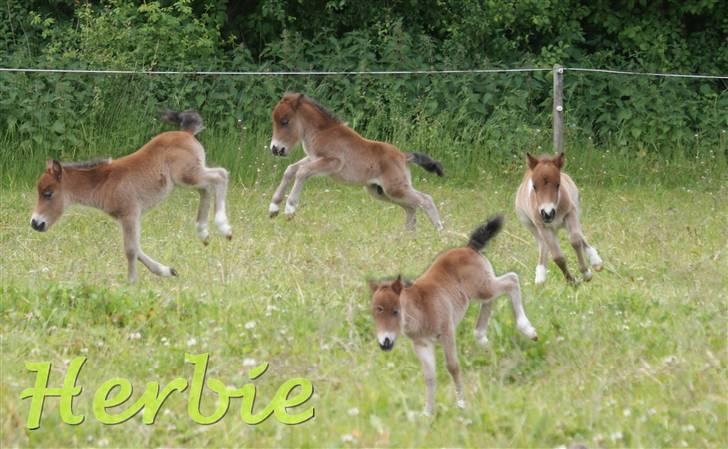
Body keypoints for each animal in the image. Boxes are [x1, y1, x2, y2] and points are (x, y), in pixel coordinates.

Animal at [30, 110, 230, 282]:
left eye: (48, 193)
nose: (35, 223)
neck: (105, 182)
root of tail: (186, 133)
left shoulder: (130, 214)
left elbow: (131, 250)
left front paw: (131, 284)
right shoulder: (125, 218)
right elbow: (137, 248)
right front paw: (167, 271)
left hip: (187, 175)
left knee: (220, 175)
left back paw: (224, 228)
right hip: (189, 178)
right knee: (206, 189)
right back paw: (203, 233)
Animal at [268, 92, 444, 231]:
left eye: (285, 121)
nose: (276, 149)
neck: (323, 132)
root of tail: (403, 156)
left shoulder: (333, 162)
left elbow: (301, 172)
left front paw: (290, 209)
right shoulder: (313, 158)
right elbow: (290, 170)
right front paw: (273, 207)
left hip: (395, 188)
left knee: (426, 200)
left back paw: (440, 232)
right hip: (380, 191)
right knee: (412, 206)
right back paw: (408, 236)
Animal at [370, 215, 536, 414]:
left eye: (396, 311)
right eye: (374, 313)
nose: (385, 342)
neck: (421, 307)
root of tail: (469, 247)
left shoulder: (446, 331)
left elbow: (453, 366)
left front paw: (461, 404)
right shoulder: (421, 344)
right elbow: (429, 376)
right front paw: (427, 412)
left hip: (483, 287)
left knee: (511, 280)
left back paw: (528, 329)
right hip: (482, 290)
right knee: (491, 300)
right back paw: (481, 337)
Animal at [516, 151, 604, 284]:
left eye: (558, 184)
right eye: (534, 186)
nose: (548, 213)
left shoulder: (570, 213)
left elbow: (576, 240)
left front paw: (586, 273)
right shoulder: (542, 226)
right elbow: (557, 256)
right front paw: (571, 281)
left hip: (574, 213)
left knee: (580, 236)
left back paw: (596, 261)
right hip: (532, 227)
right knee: (543, 244)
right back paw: (540, 278)